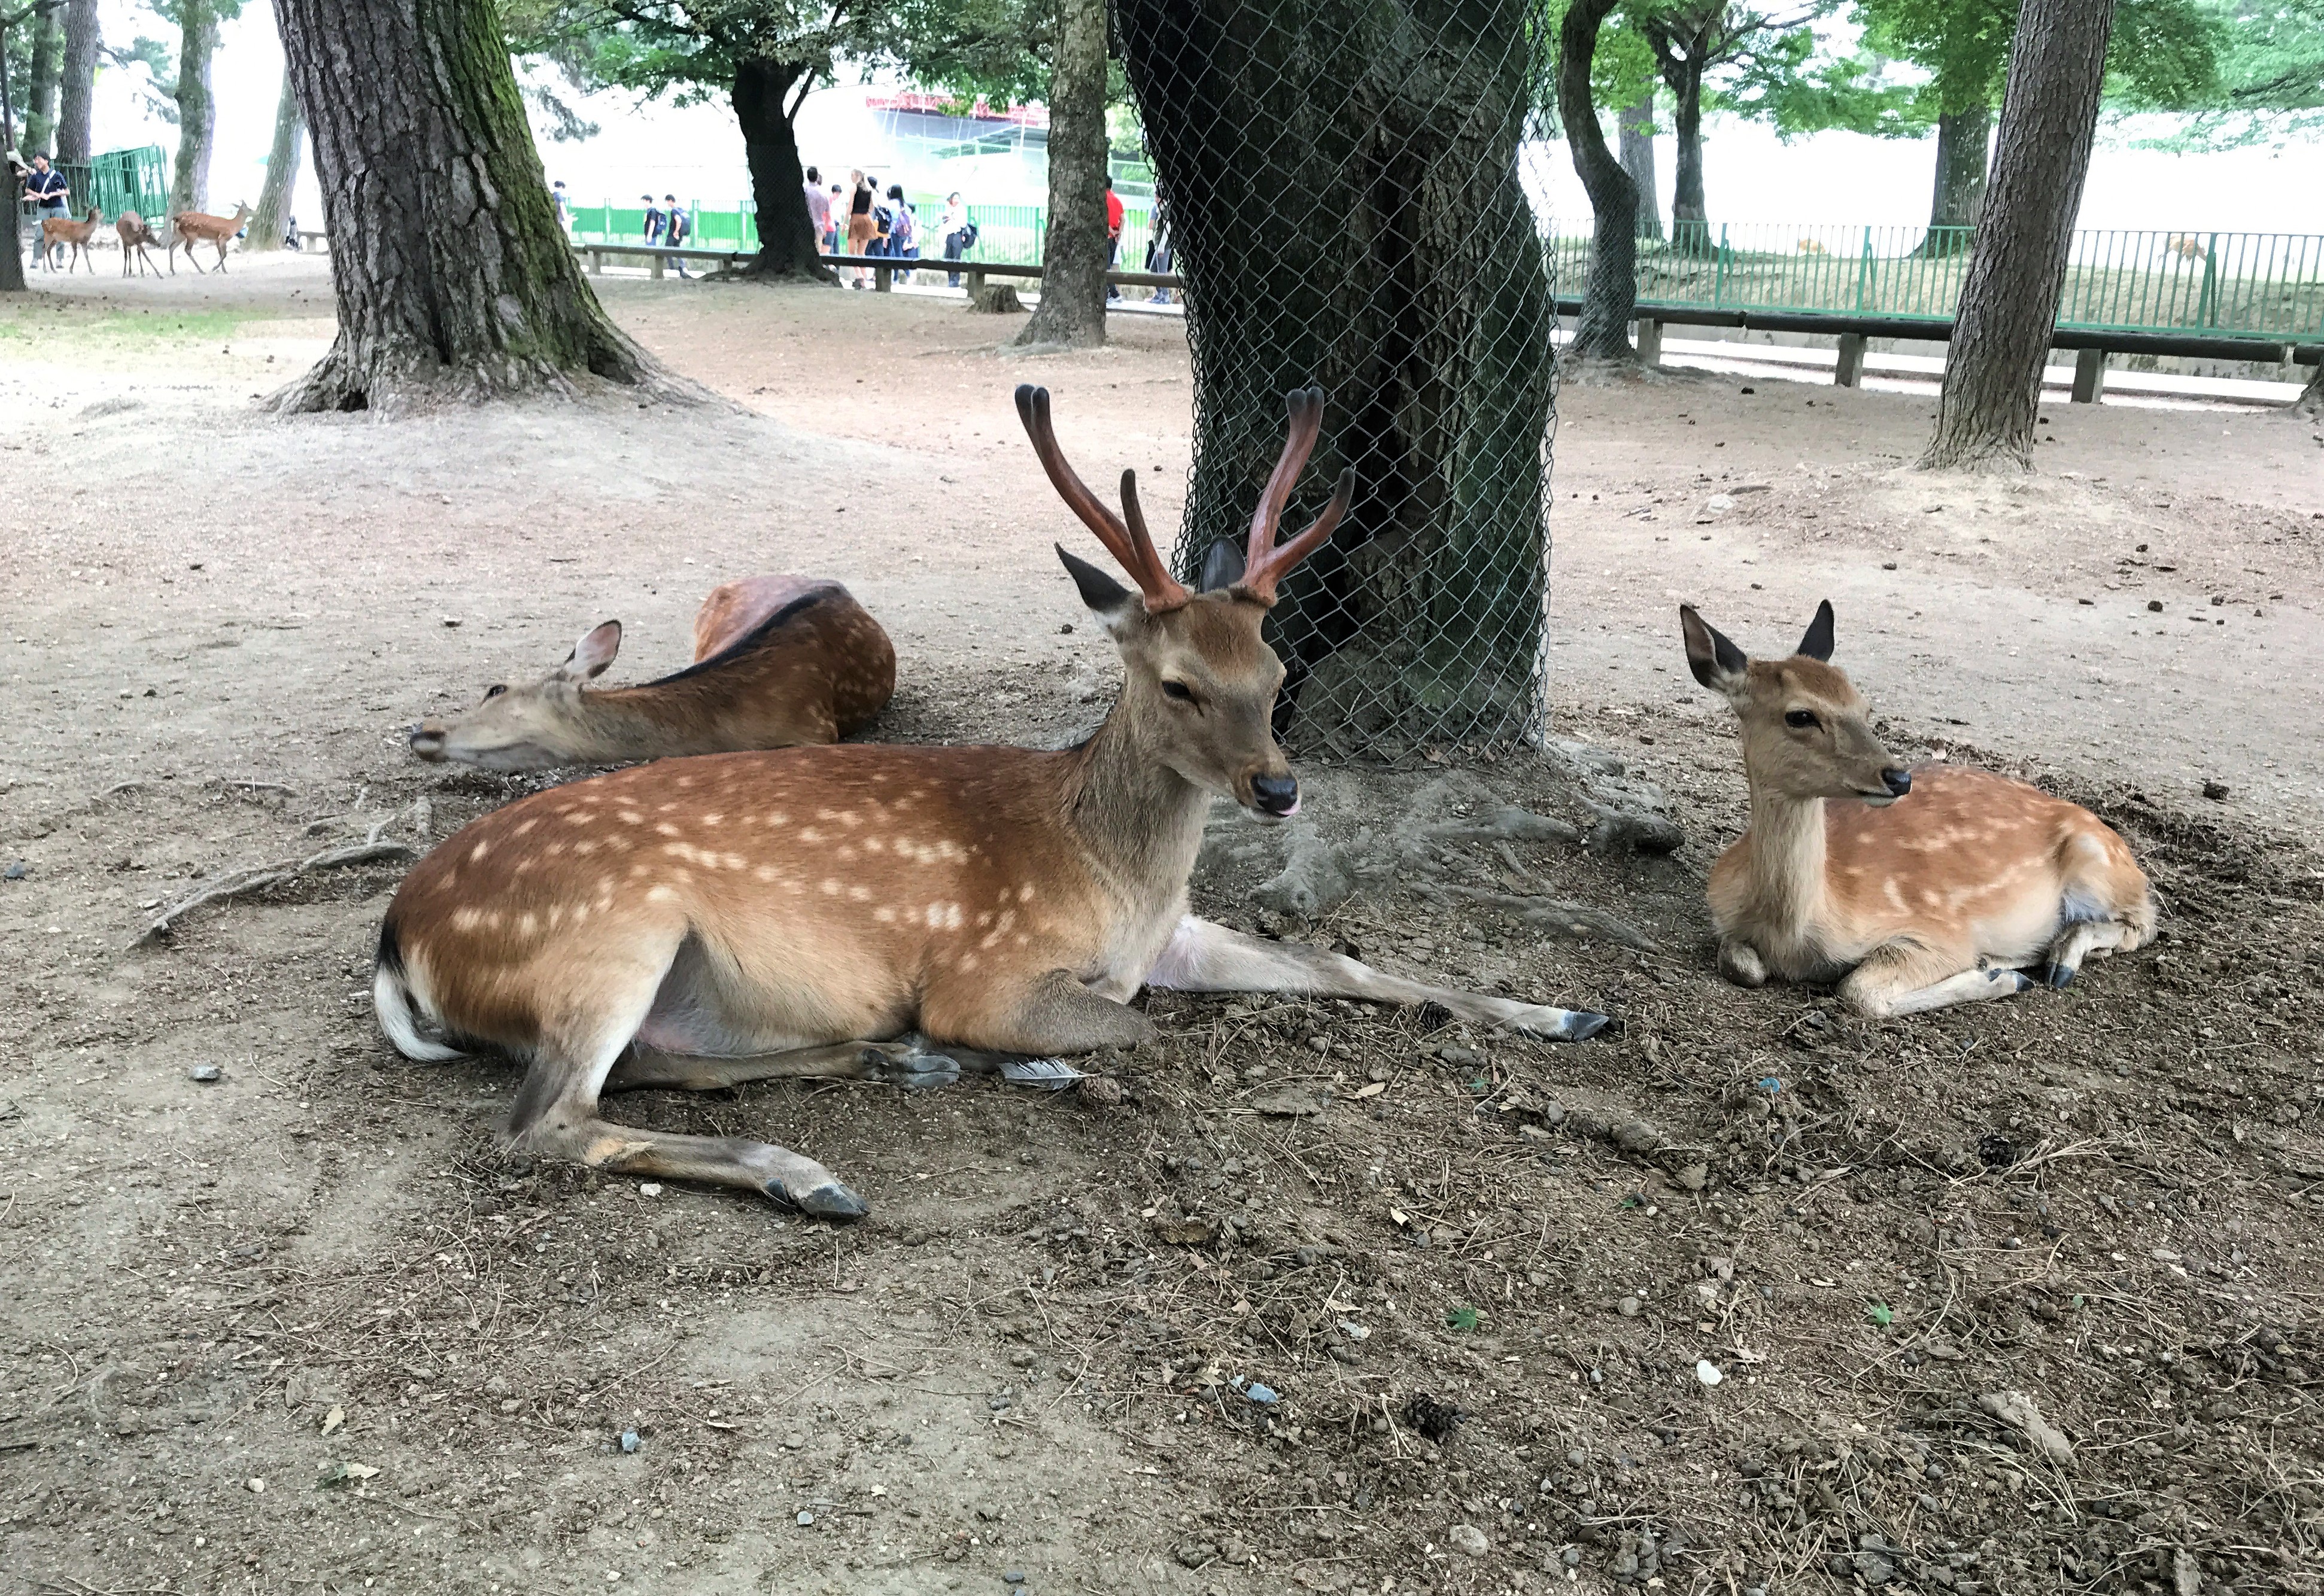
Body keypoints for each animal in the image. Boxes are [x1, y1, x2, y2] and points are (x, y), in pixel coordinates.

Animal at [169, 202, 250, 273]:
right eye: (249, 209)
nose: (253, 212)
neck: (233, 226)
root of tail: (176, 218)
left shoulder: (216, 240)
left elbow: (221, 254)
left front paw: (224, 270)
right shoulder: (223, 238)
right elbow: (224, 254)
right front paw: (214, 268)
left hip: (180, 235)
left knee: (171, 247)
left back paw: (173, 271)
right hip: (191, 234)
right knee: (187, 250)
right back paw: (201, 271)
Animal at [1680, 602, 2155, 1018]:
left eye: (1865, 706)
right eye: (1799, 715)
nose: (1898, 777)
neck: (1792, 934)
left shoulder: (1940, 930)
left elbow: (1857, 990)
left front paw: (1998, 977)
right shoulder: (1723, 918)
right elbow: (1740, 964)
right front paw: (1998, 971)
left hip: (2098, 863)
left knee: (2144, 922)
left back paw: (2055, 962)